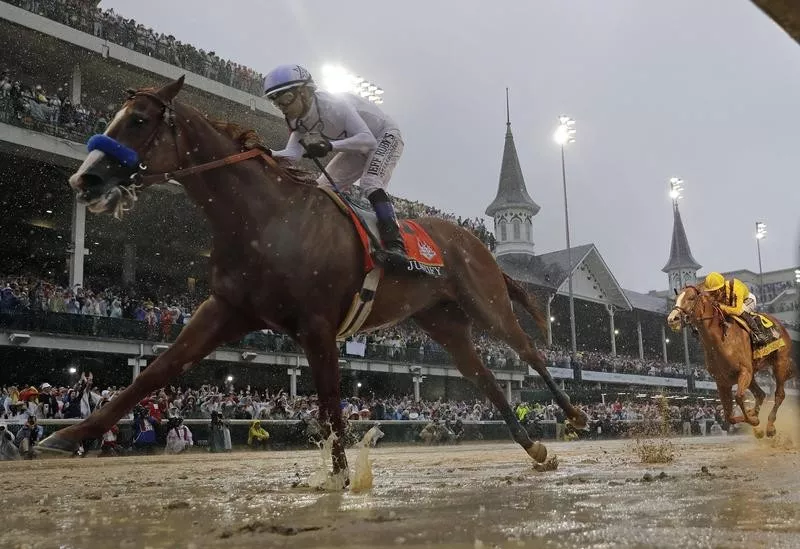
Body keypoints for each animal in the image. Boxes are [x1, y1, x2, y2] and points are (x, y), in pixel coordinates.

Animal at [37, 78, 584, 480]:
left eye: (139, 120)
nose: (85, 178)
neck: (264, 219)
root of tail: (477, 242)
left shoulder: (319, 325)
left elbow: (329, 403)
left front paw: (341, 479)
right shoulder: (226, 309)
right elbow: (156, 371)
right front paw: (66, 435)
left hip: (486, 304)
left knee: (530, 352)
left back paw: (573, 414)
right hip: (443, 323)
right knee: (486, 379)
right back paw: (534, 447)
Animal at [668, 284, 792, 434]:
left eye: (691, 298)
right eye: (676, 298)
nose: (672, 319)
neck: (721, 341)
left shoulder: (744, 372)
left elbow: (738, 398)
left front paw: (754, 420)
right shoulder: (722, 381)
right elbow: (729, 416)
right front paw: (753, 420)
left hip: (780, 363)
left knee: (779, 394)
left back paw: (770, 426)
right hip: (753, 375)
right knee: (761, 394)